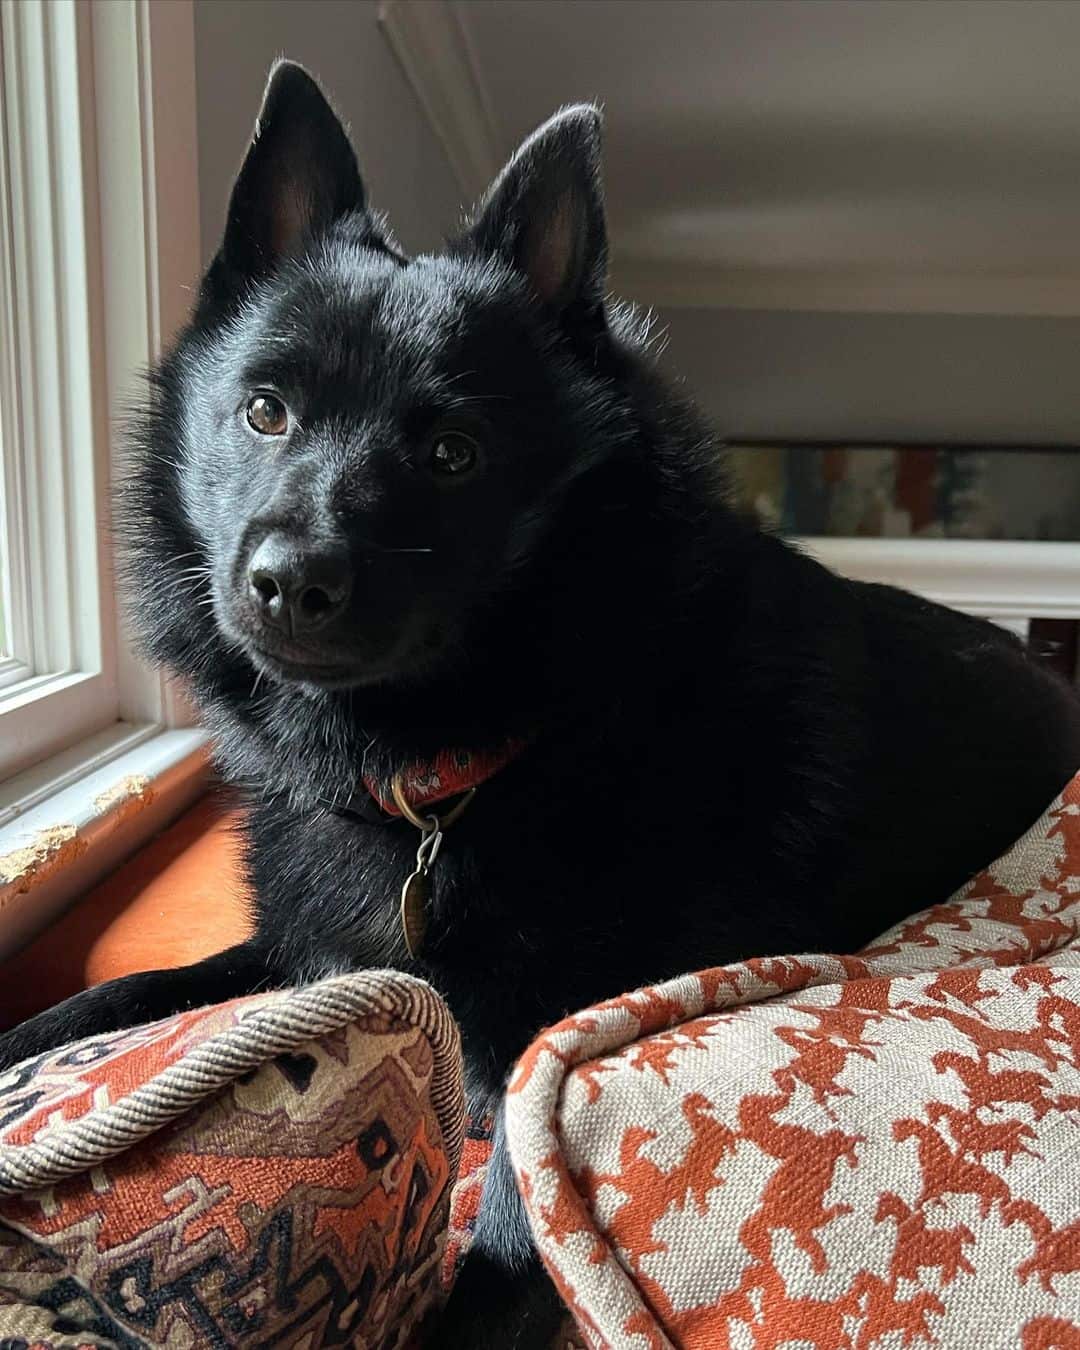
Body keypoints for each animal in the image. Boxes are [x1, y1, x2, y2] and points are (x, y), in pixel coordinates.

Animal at [2, 65, 1080, 1350]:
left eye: (454, 453)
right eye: (264, 411)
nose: (290, 582)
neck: (459, 772)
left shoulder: (545, 1051)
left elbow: (516, 1216)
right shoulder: (300, 950)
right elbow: (127, 992)